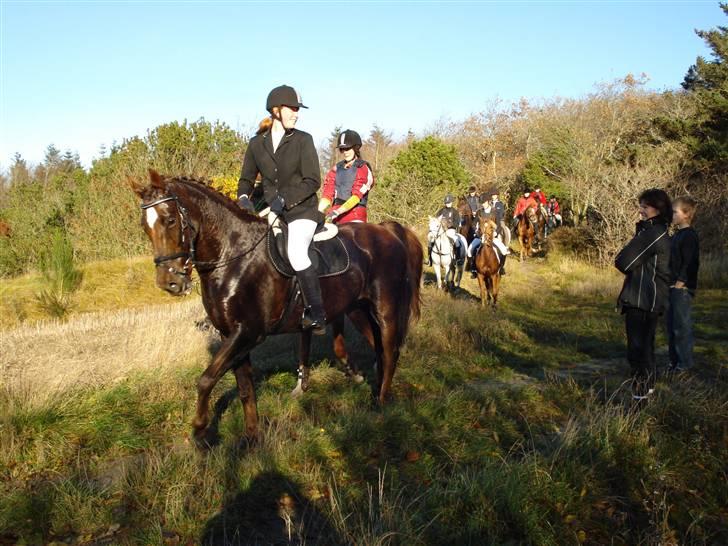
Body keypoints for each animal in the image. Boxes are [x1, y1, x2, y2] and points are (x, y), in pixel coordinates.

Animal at [134, 170, 424, 446]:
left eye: (170, 220)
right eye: (145, 227)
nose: (169, 282)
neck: (233, 255)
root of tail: (387, 230)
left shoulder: (248, 333)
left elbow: (206, 379)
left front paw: (200, 427)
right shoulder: (232, 335)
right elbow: (245, 389)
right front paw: (252, 438)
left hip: (384, 309)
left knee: (389, 350)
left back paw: (382, 403)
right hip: (358, 309)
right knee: (380, 348)